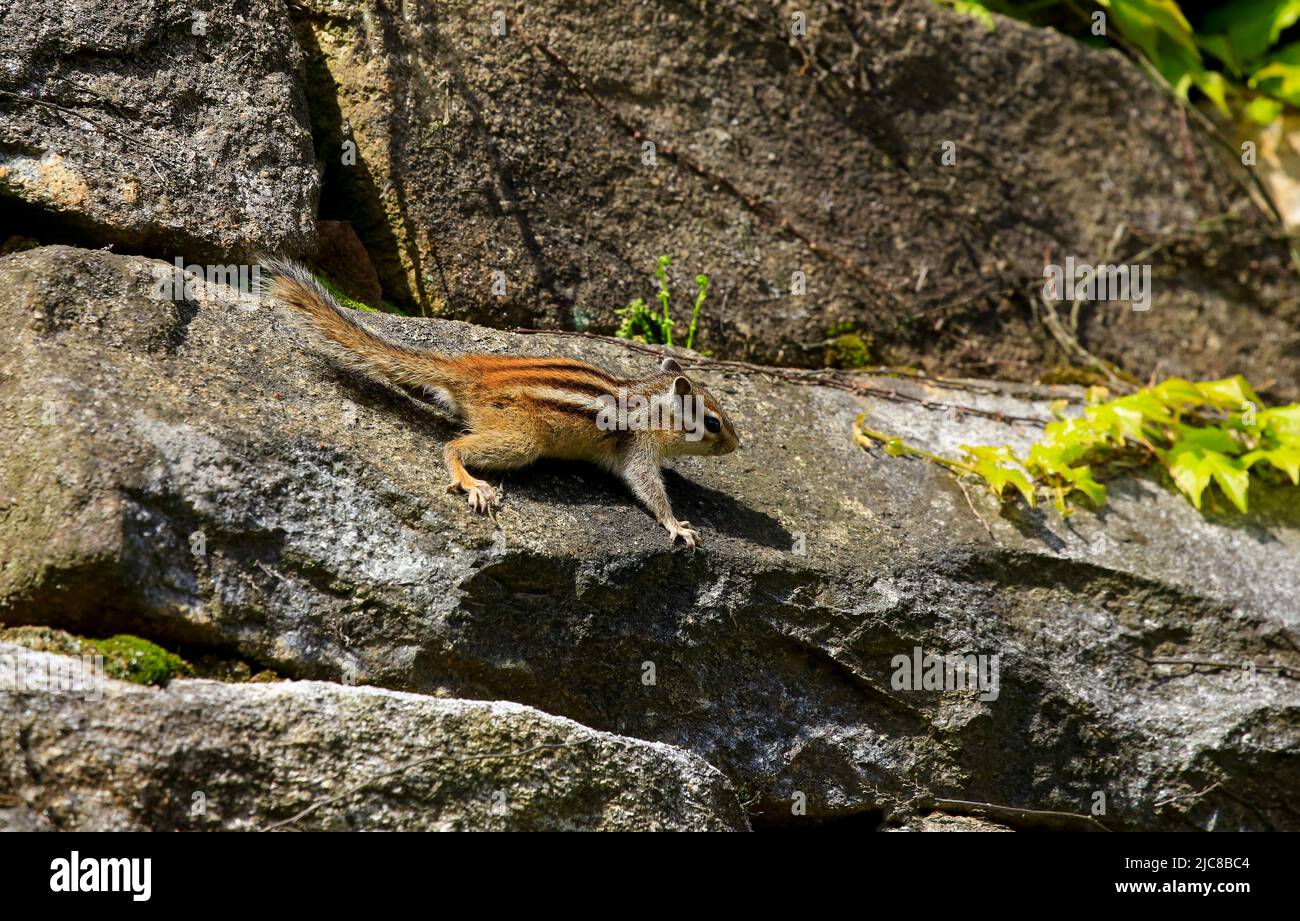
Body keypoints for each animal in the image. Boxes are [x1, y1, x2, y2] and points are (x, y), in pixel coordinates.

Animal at [260, 260, 740, 546]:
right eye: (713, 423)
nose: (738, 445)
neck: (651, 401)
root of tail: (472, 373)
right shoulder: (638, 449)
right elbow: (648, 489)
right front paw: (677, 525)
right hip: (522, 438)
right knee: (452, 446)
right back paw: (473, 484)